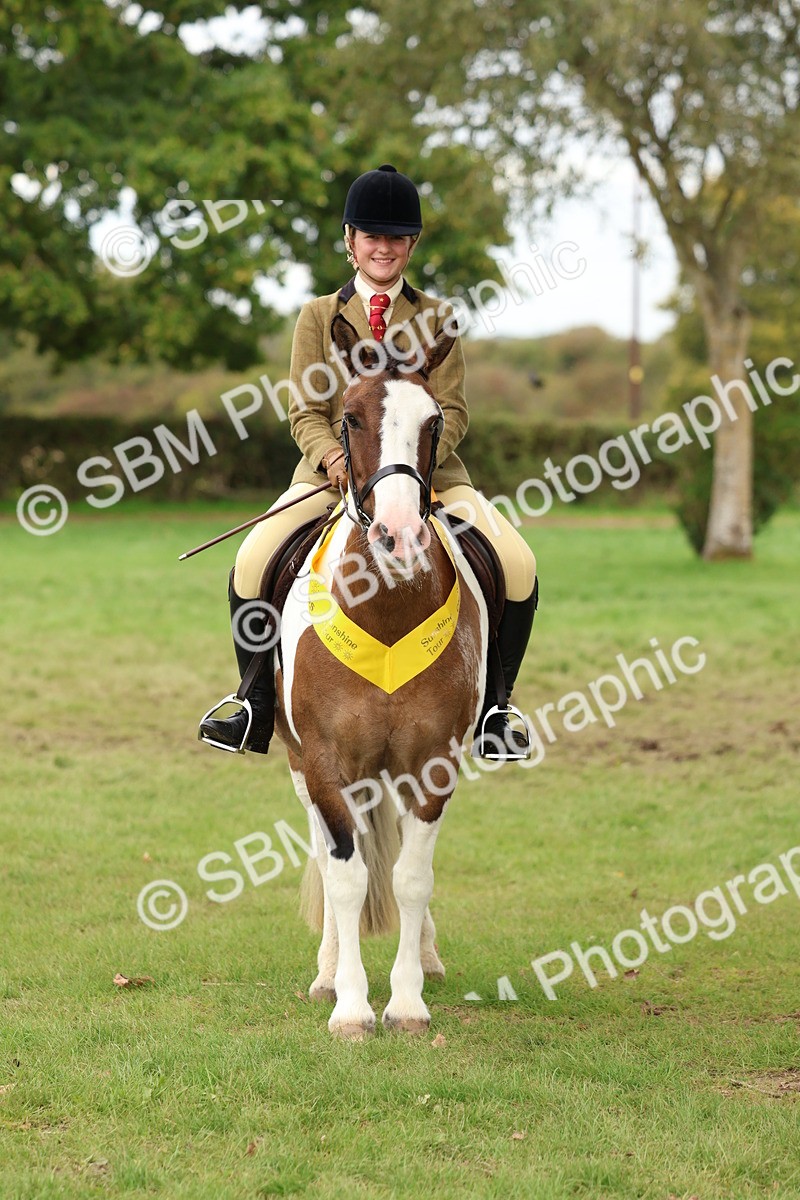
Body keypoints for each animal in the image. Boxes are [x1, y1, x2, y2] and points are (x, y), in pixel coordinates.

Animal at [273, 314, 488, 1040]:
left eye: (433, 422)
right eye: (351, 418)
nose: (399, 537)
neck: (386, 604)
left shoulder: (432, 763)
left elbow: (412, 877)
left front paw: (408, 1002)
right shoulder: (323, 761)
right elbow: (345, 876)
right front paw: (351, 1006)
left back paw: (426, 955)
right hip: (300, 763)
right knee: (325, 851)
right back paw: (325, 972)